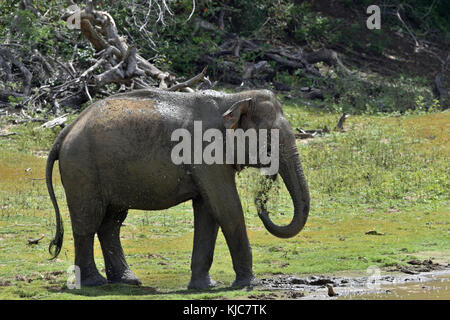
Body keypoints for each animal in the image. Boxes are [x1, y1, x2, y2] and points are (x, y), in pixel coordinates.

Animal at [47, 88, 312, 290]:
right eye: (269, 144)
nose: (268, 179)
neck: (233, 100)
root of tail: (65, 131)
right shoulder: (207, 151)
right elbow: (226, 207)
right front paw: (248, 284)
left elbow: (208, 211)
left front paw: (204, 287)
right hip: (83, 167)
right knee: (88, 221)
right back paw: (94, 283)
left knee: (111, 223)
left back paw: (127, 281)